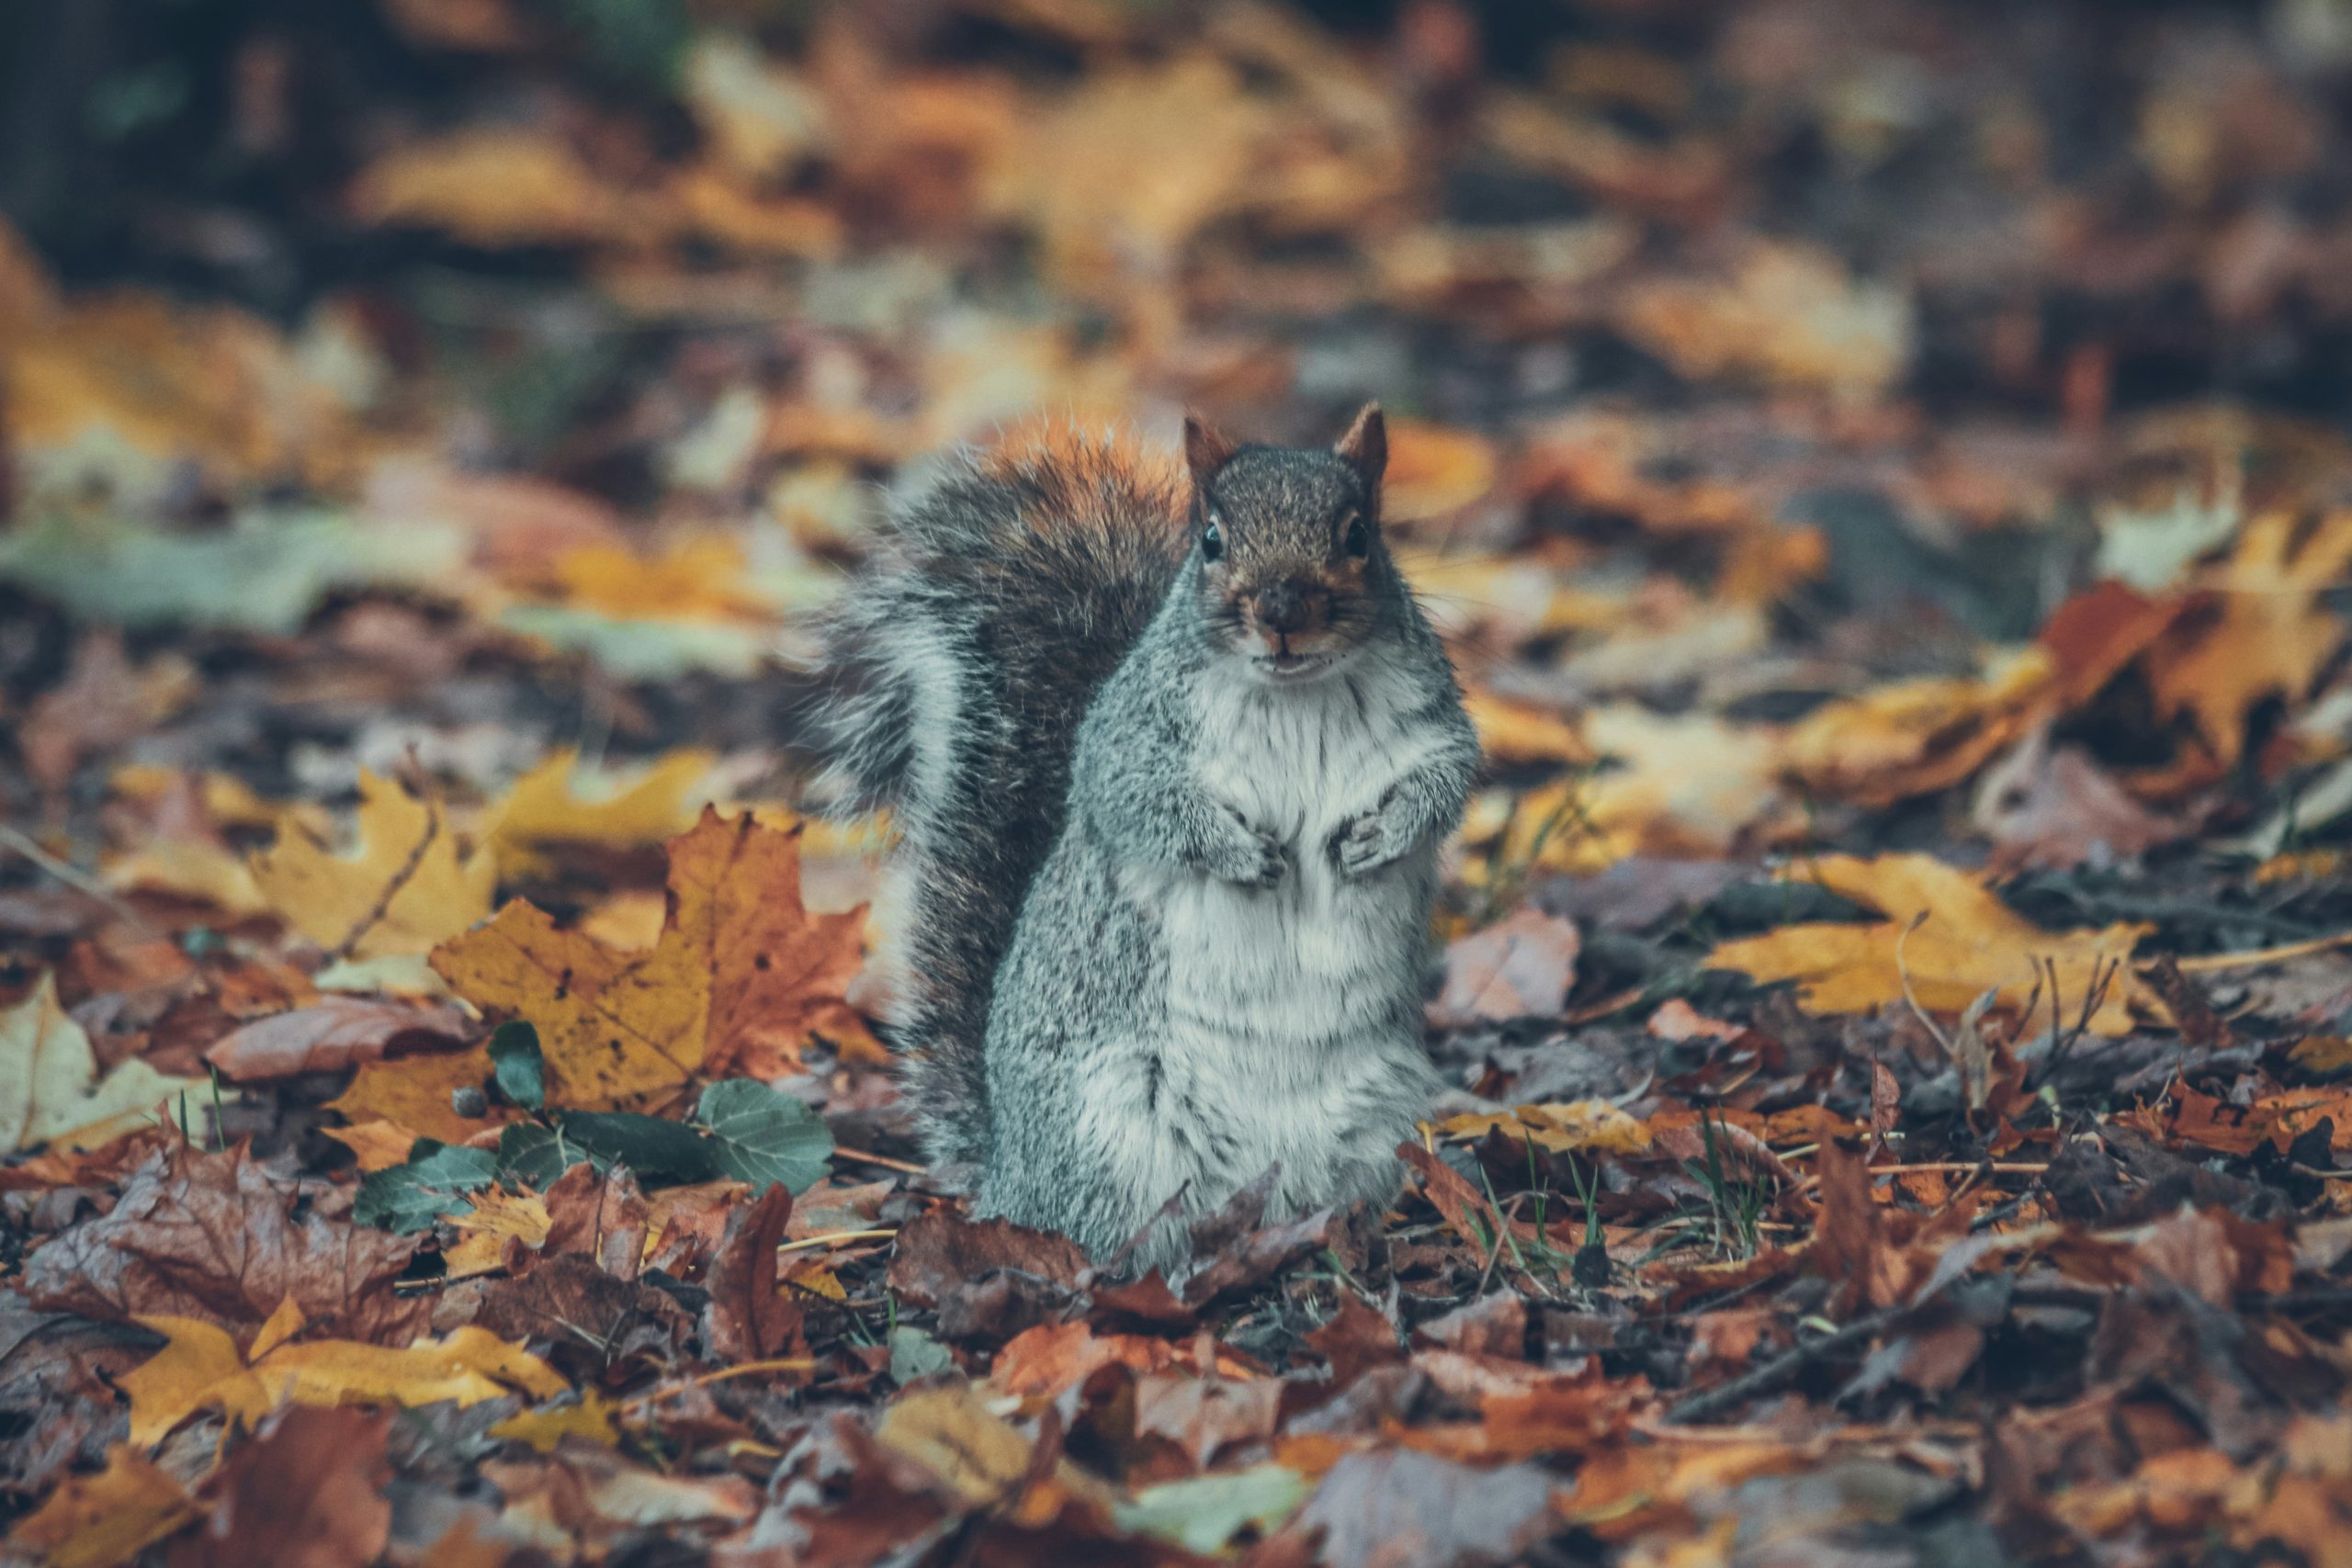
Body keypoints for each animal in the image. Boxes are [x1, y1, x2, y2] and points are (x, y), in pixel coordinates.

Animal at [808, 409, 1467, 1279]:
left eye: (1358, 534)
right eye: (1212, 540)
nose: (1282, 612)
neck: (1295, 694)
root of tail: (1009, 1176)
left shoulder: (1434, 726)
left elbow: (1446, 784)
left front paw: (1379, 838)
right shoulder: (1124, 743)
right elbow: (1143, 804)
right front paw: (1240, 854)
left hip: (1377, 1118)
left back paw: (1337, 1241)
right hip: (1115, 1130)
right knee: (1112, 1232)